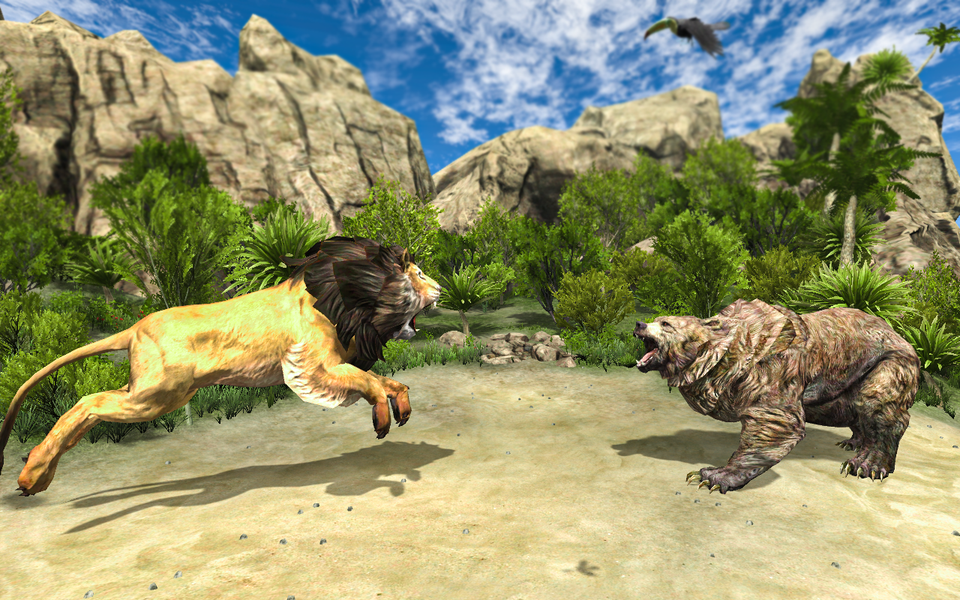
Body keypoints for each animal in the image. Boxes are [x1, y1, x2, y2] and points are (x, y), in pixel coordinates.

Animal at [0, 236, 442, 496]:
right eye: (418, 274)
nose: (439, 288)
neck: (348, 298)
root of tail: (135, 327)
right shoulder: (312, 367)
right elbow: (367, 380)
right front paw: (382, 417)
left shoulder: (328, 364)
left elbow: (385, 380)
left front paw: (401, 407)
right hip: (156, 395)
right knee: (87, 402)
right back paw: (31, 474)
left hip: (153, 392)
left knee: (90, 409)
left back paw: (38, 475)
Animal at [633, 298, 920, 494]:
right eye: (658, 318)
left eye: (666, 324)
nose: (639, 323)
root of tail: (901, 335)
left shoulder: (774, 373)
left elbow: (776, 425)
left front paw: (712, 476)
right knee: (849, 408)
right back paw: (853, 443)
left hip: (889, 360)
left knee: (876, 402)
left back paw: (864, 465)